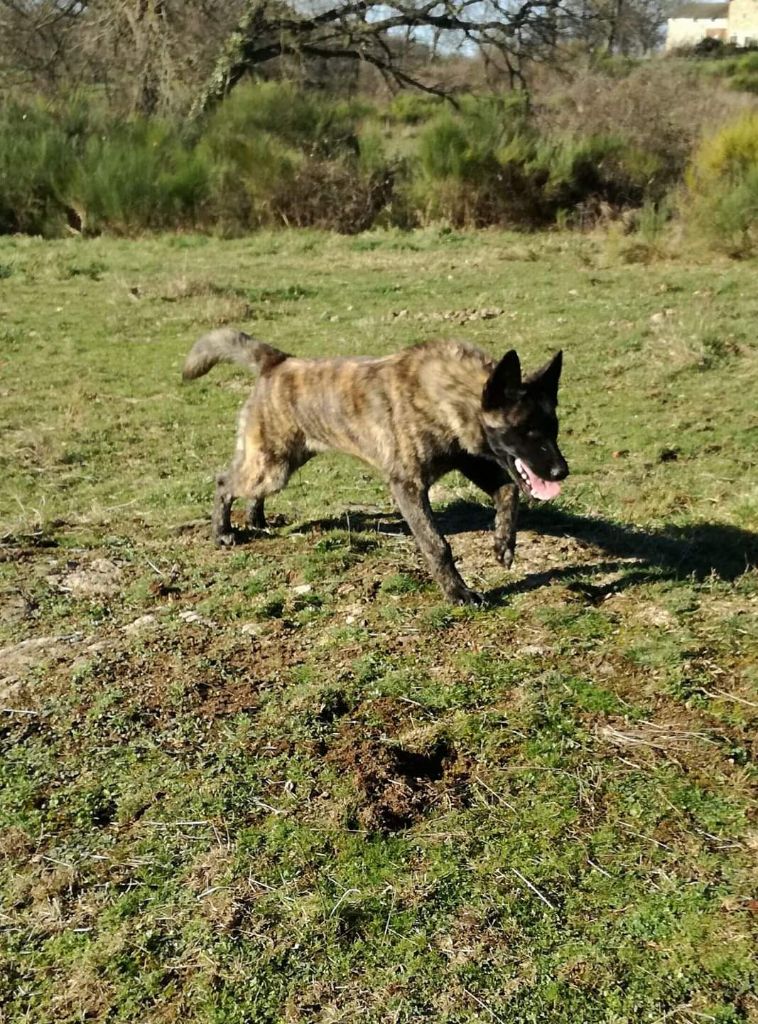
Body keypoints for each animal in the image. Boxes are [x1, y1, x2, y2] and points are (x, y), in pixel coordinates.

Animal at [183, 327, 569, 602]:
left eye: (553, 428)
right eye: (526, 430)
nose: (561, 472)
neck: (447, 394)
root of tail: (277, 363)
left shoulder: (472, 462)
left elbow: (508, 492)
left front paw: (504, 544)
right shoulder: (408, 486)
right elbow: (437, 545)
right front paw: (458, 593)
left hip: (280, 464)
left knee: (250, 488)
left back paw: (256, 519)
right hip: (270, 465)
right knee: (224, 482)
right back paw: (223, 532)